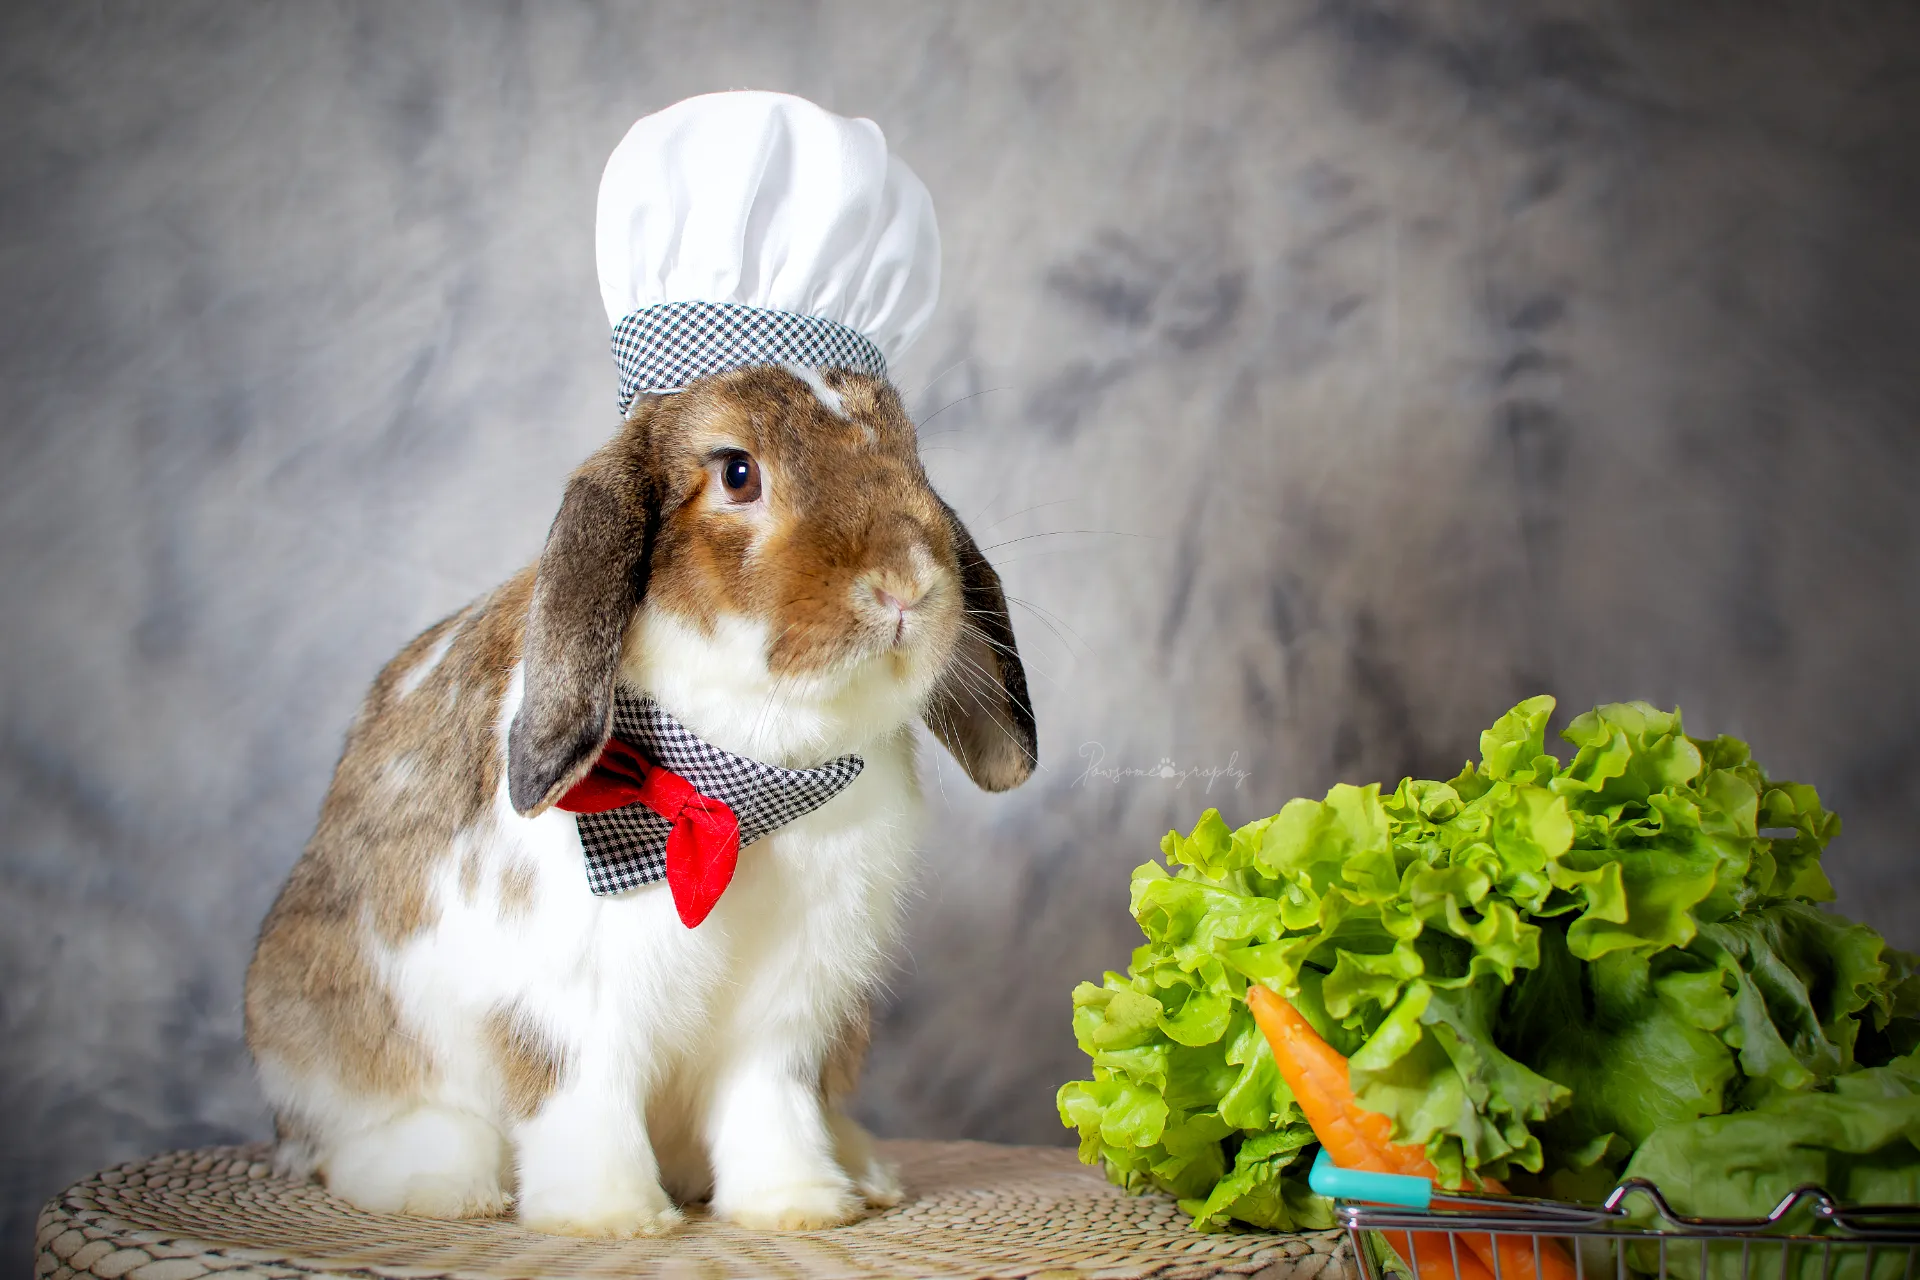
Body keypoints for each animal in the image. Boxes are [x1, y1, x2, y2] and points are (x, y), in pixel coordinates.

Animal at [243, 364, 1036, 1237]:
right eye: (737, 473)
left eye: (910, 457)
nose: (908, 586)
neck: (752, 784)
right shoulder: (571, 1003)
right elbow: (584, 1099)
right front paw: (610, 1219)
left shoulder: (788, 1012)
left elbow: (770, 1106)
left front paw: (798, 1207)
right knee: (363, 1135)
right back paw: (441, 1186)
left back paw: (863, 1172)